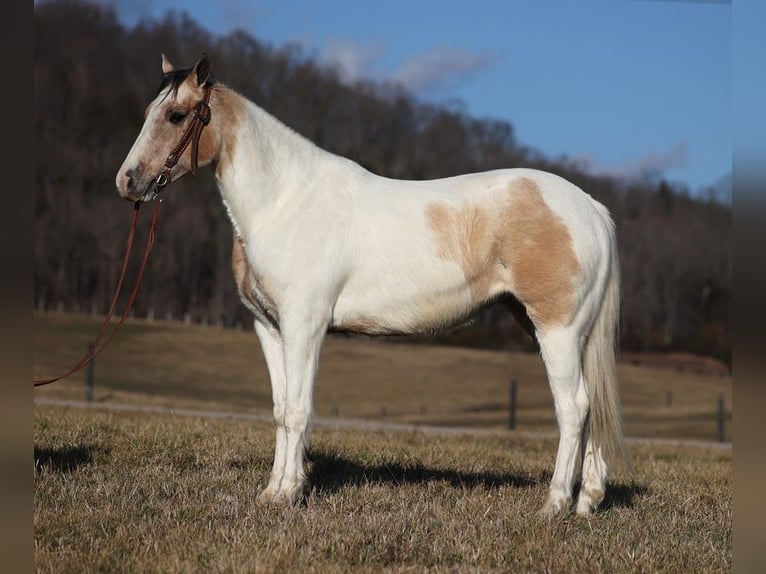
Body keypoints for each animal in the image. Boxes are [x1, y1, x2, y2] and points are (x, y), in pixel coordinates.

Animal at [117, 54, 628, 516]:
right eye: (147, 112)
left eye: (176, 115)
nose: (128, 182)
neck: (284, 201)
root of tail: (591, 208)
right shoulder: (269, 328)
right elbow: (282, 410)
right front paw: (272, 492)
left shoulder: (304, 326)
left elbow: (300, 409)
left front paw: (289, 494)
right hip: (563, 331)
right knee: (592, 407)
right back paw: (588, 501)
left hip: (556, 330)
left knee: (573, 407)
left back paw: (555, 504)